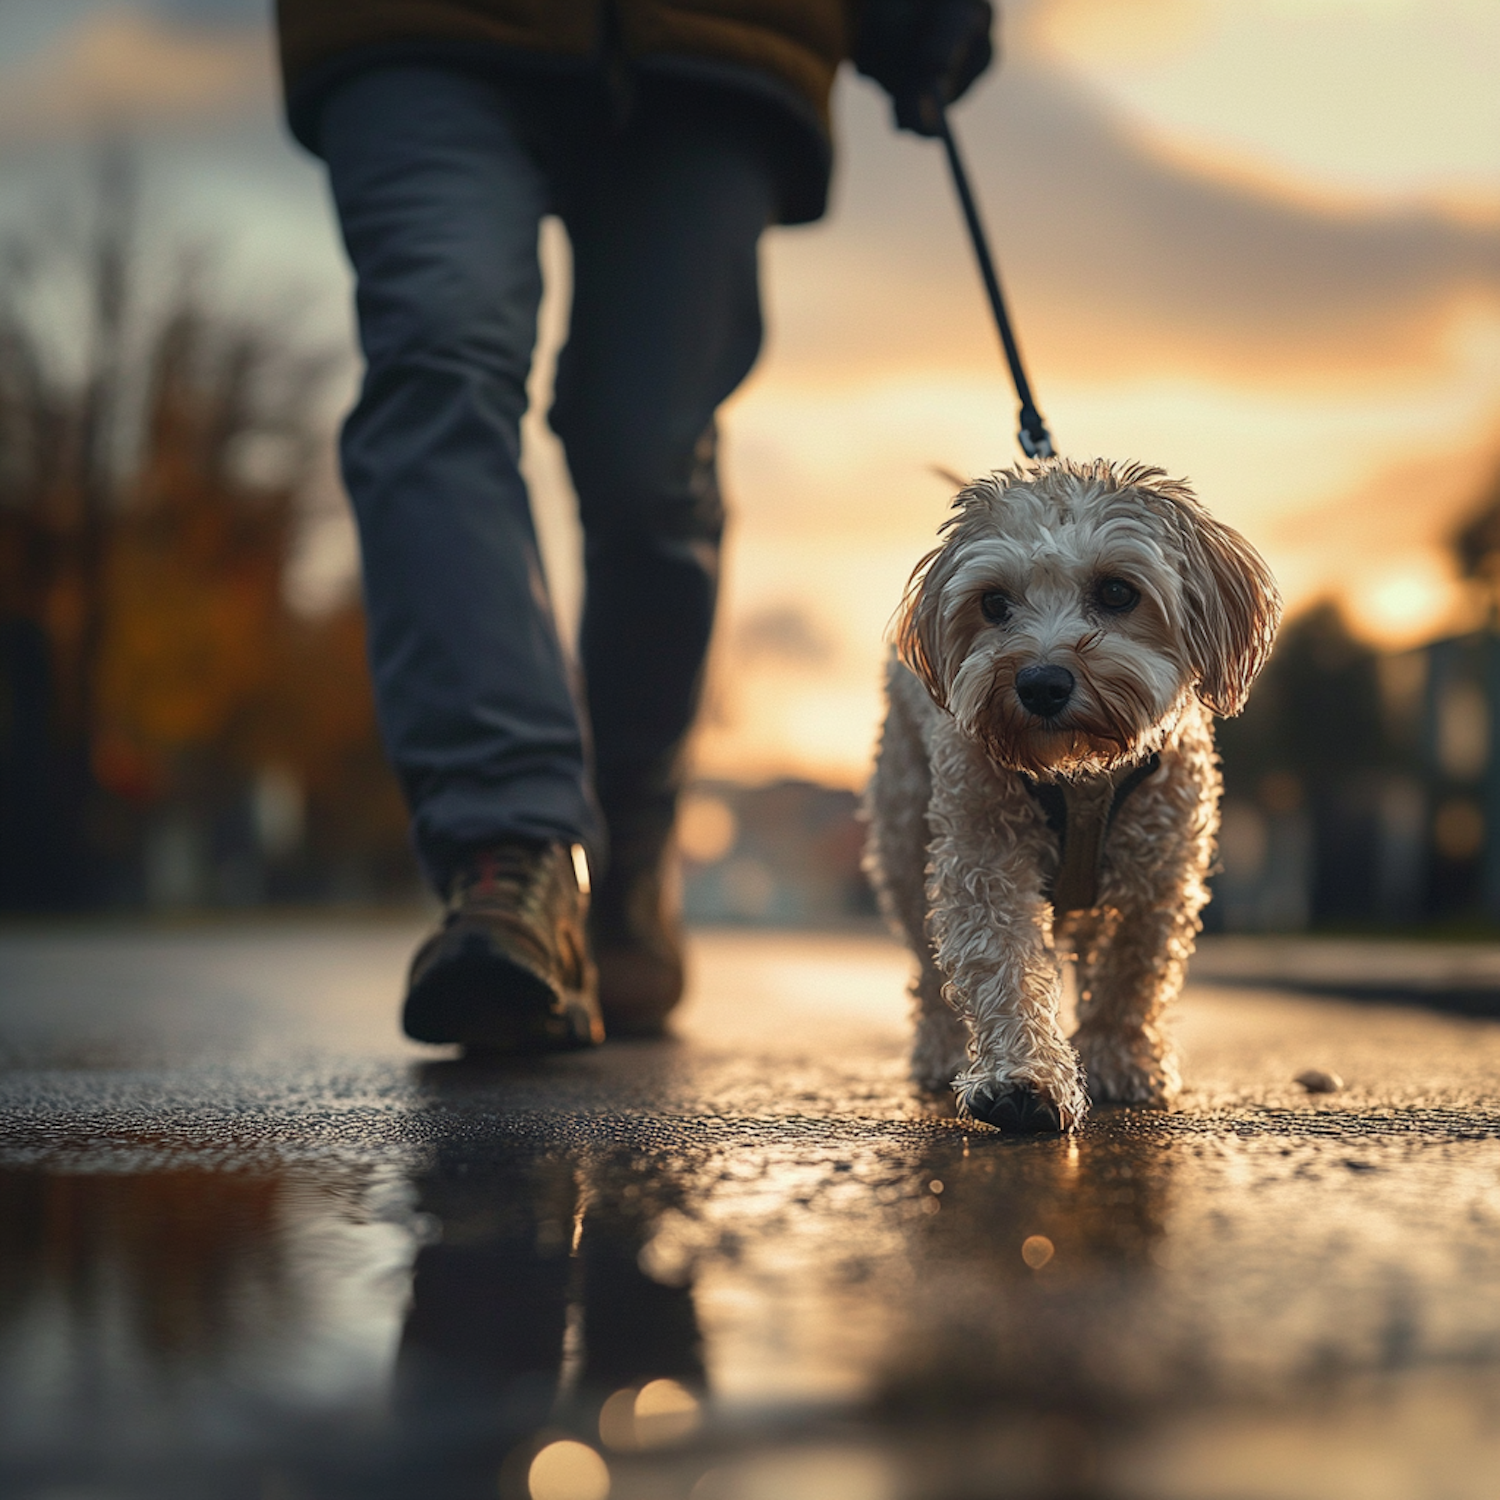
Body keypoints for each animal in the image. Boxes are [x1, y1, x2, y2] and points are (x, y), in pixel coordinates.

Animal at [870, 462, 1278, 1128]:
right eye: (993, 602)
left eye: (1116, 592)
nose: (1040, 683)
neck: (1080, 774)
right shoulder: (985, 857)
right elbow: (1003, 966)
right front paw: (1021, 1078)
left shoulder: (1160, 872)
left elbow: (1132, 975)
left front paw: (1120, 1060)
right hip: (904, 841)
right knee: (928, 973)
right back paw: (939, 1049)